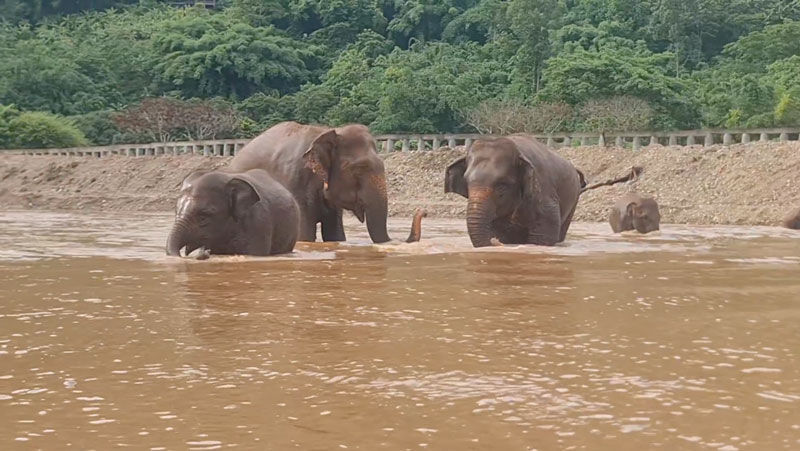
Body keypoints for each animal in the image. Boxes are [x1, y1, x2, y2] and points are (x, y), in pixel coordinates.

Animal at [444, 134, 636, 247]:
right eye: (467, 183)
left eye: (502, 185)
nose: (494, 243)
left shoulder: (543, 193)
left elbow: (543, 237)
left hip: (573, 200)